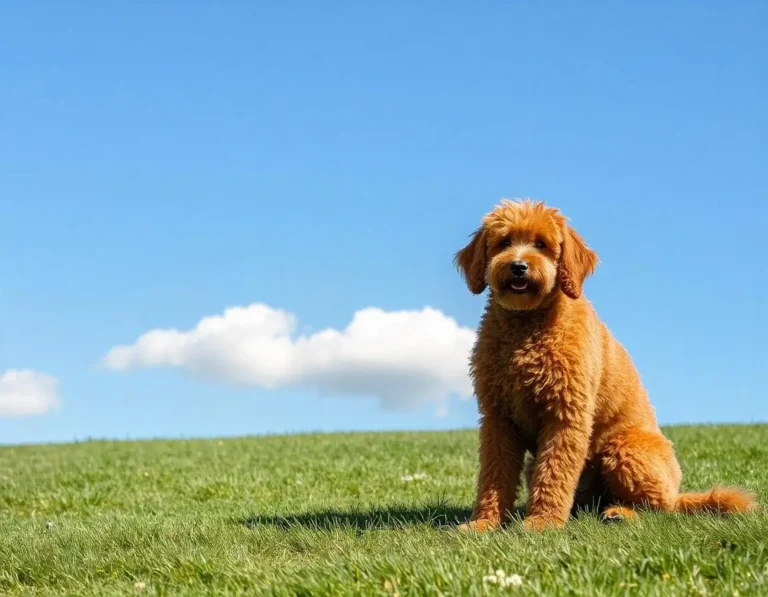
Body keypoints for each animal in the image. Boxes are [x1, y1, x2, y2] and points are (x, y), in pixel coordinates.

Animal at [452, 200, 752, 532]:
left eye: (541, 244)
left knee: (661, 508)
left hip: (626, 450)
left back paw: (621, 513)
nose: (518, 266)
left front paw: (542, 523)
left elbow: (554, 472)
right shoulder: (498, 417)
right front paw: (484, 523)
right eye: (504, 242)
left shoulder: (566, 415)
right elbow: (494, 474)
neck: (526, 328)